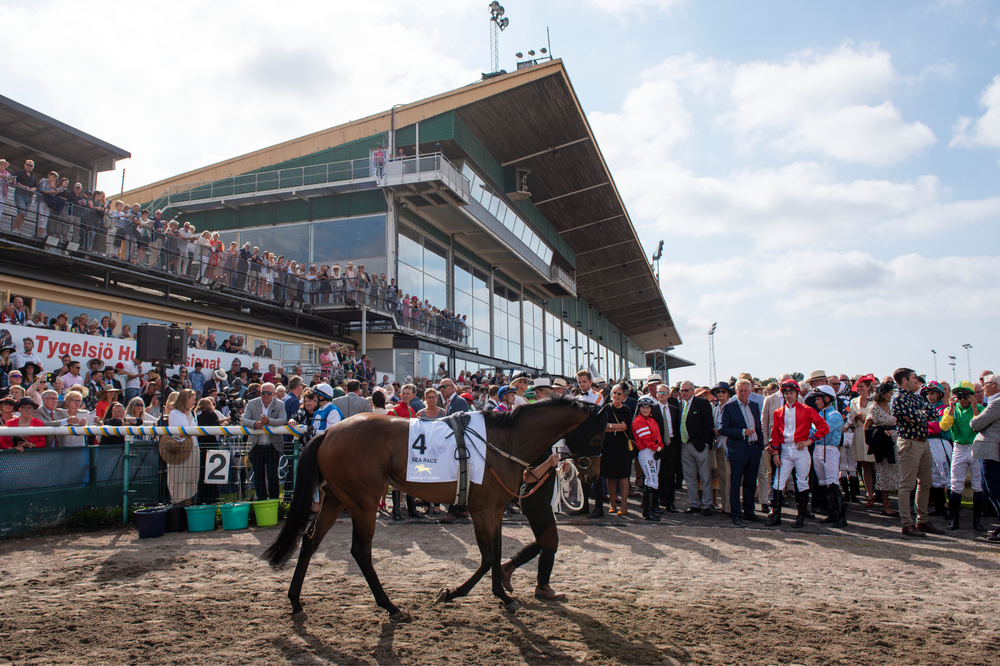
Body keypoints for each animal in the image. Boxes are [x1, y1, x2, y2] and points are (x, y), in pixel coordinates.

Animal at [266, 394, 604, 616]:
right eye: (599, 436)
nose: (593, 473)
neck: (500, 442)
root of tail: (328, 432)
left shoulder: (494, 510)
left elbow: (496, 554)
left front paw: (501, 595)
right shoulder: (482, 510)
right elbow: (488, 557)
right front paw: (453, 593)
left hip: (337, 498)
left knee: (310, 541)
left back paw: (295, 600)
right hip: (362, 502)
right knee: (360, 551)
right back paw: (389, 605)